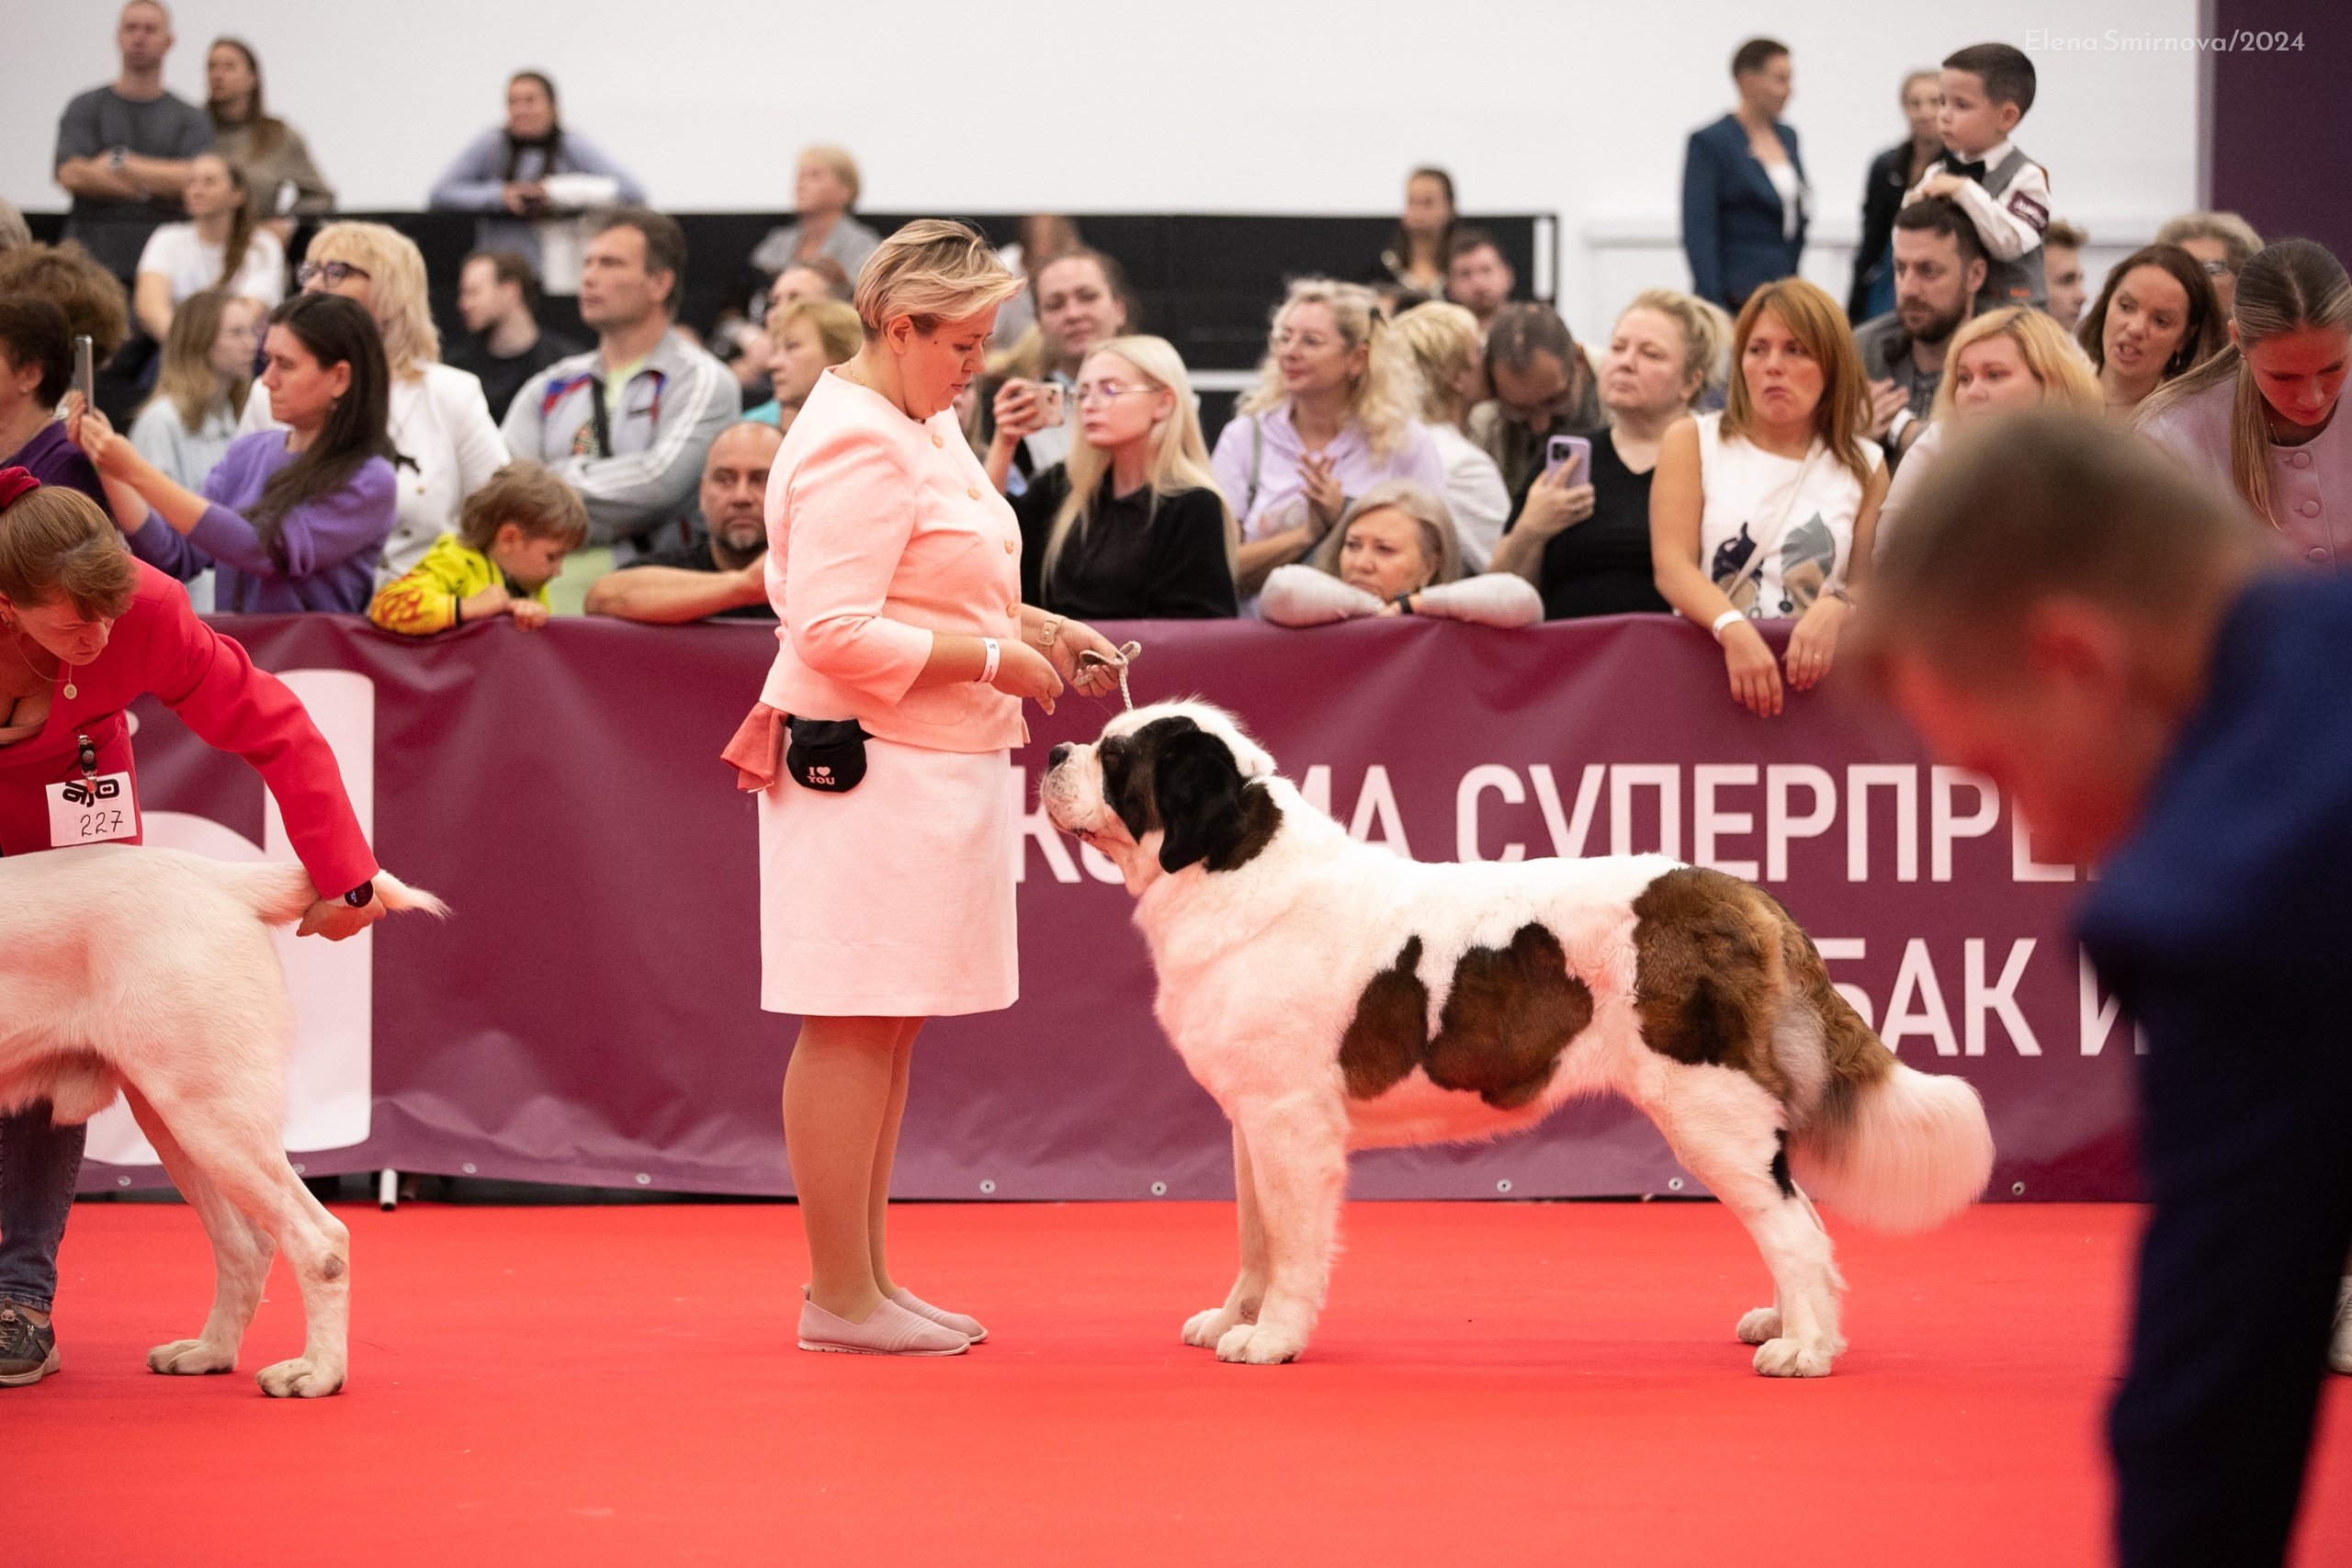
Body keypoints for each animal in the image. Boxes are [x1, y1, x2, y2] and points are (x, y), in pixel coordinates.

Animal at [0, 844, 446, 1397]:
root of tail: (220, 876)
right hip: (179, 1122)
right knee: (245, 1247)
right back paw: (209, 1352)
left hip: (209, 1112)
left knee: (320, 1242)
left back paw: (317, 1371)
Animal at [1041, 702, 1994, 1375]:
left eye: (1116, 758)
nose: (1053, 754)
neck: (1229, 863)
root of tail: (1744, 894)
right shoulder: (1252, 1120)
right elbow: (1254, 1234)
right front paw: (1231, 1317)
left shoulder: (1290, 1123)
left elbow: (1293, 1239)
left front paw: (1272, 1337)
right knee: (1788, 1211)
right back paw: (1785, 1321)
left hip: (1709, 1101)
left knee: (1791, 1221)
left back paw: (1805, 1348)